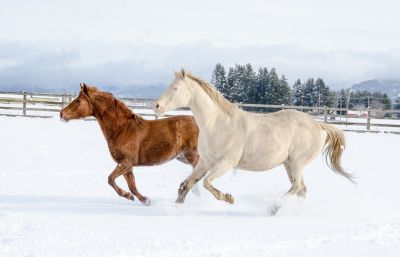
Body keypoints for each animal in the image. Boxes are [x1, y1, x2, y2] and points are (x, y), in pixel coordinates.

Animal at [60, 83, 198, 204]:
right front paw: (144, 200)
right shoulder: (126, 165)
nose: (61, 114)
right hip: (183, 157)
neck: (122, 129)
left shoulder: (127, 161)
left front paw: (130, 196)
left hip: (192, 156)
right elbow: (132, 186)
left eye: (78, 101)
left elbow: (110, 179)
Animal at [155, 69, 354, 203]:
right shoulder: (205, 161)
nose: (156, 106)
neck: (218, 124)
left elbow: (206, 183)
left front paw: (228, 198)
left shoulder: (226, 163)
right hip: (289, 164)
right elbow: (186, 185)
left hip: (297, 163)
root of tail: (318, 125)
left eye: (175, 88)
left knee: (297, 187)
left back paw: (274, 208)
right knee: (301, 189)